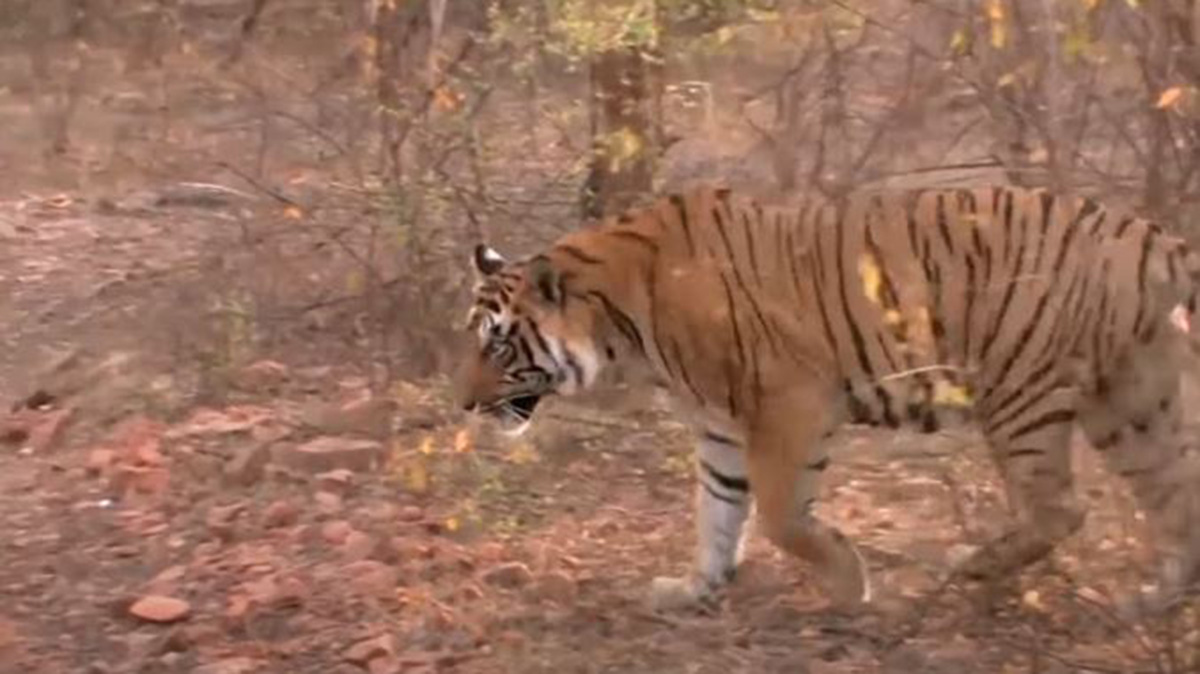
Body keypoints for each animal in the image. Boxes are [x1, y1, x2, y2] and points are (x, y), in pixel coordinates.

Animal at [454, 184, 1200, 612]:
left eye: (499, 346)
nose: (462, 403)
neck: (623, 326)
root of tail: (1141, 232)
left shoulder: (790, 402)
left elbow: (781, 517)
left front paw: (849, 586)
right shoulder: (719, 425)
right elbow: (716, 512)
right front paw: (694, 588)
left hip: (1020, 386)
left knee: (1060, 508)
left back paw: (971, 568)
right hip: (1131, 404)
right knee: (1176, 494)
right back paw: (1154, 598)